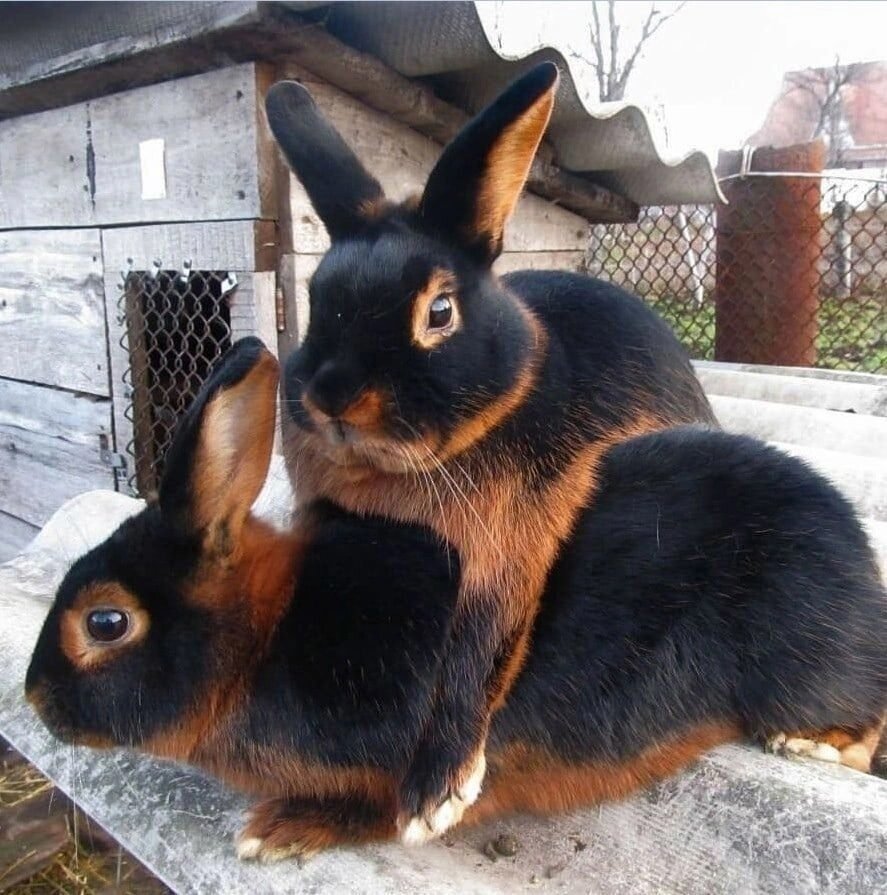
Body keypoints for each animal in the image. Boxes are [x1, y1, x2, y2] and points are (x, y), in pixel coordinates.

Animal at [26, 340, 886, 863]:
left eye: (106, 621)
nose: (36, 700)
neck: (260, 637)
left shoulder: (415, 765)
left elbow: (397, 810)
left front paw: (278, 829)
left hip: (804, 650)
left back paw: (808, 745)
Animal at [264, 61, 718, 841]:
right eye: (318, 298)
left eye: (439, 312)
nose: (330, 395)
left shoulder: (507, 550)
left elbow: (475, 651)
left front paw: (434, 792)